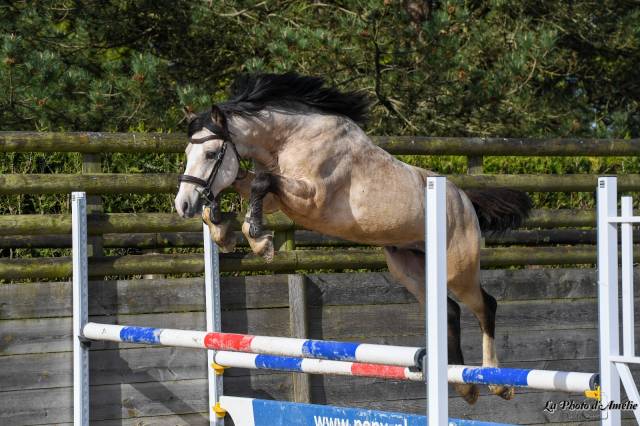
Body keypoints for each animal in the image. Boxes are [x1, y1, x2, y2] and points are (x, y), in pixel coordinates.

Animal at [174, 73, 532, 404]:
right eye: (188, 152)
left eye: (211, 153)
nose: (183, 205)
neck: (291, 137)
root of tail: (465, 201)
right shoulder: (279, 198)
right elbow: (245, 184)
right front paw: (221, 228)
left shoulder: (312, 199)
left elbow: (261, 183)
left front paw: (258, 240)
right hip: (409, 266)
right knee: (450, 310)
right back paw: (464, 386)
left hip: (458, 269)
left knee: (485, 305)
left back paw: (498, 383)